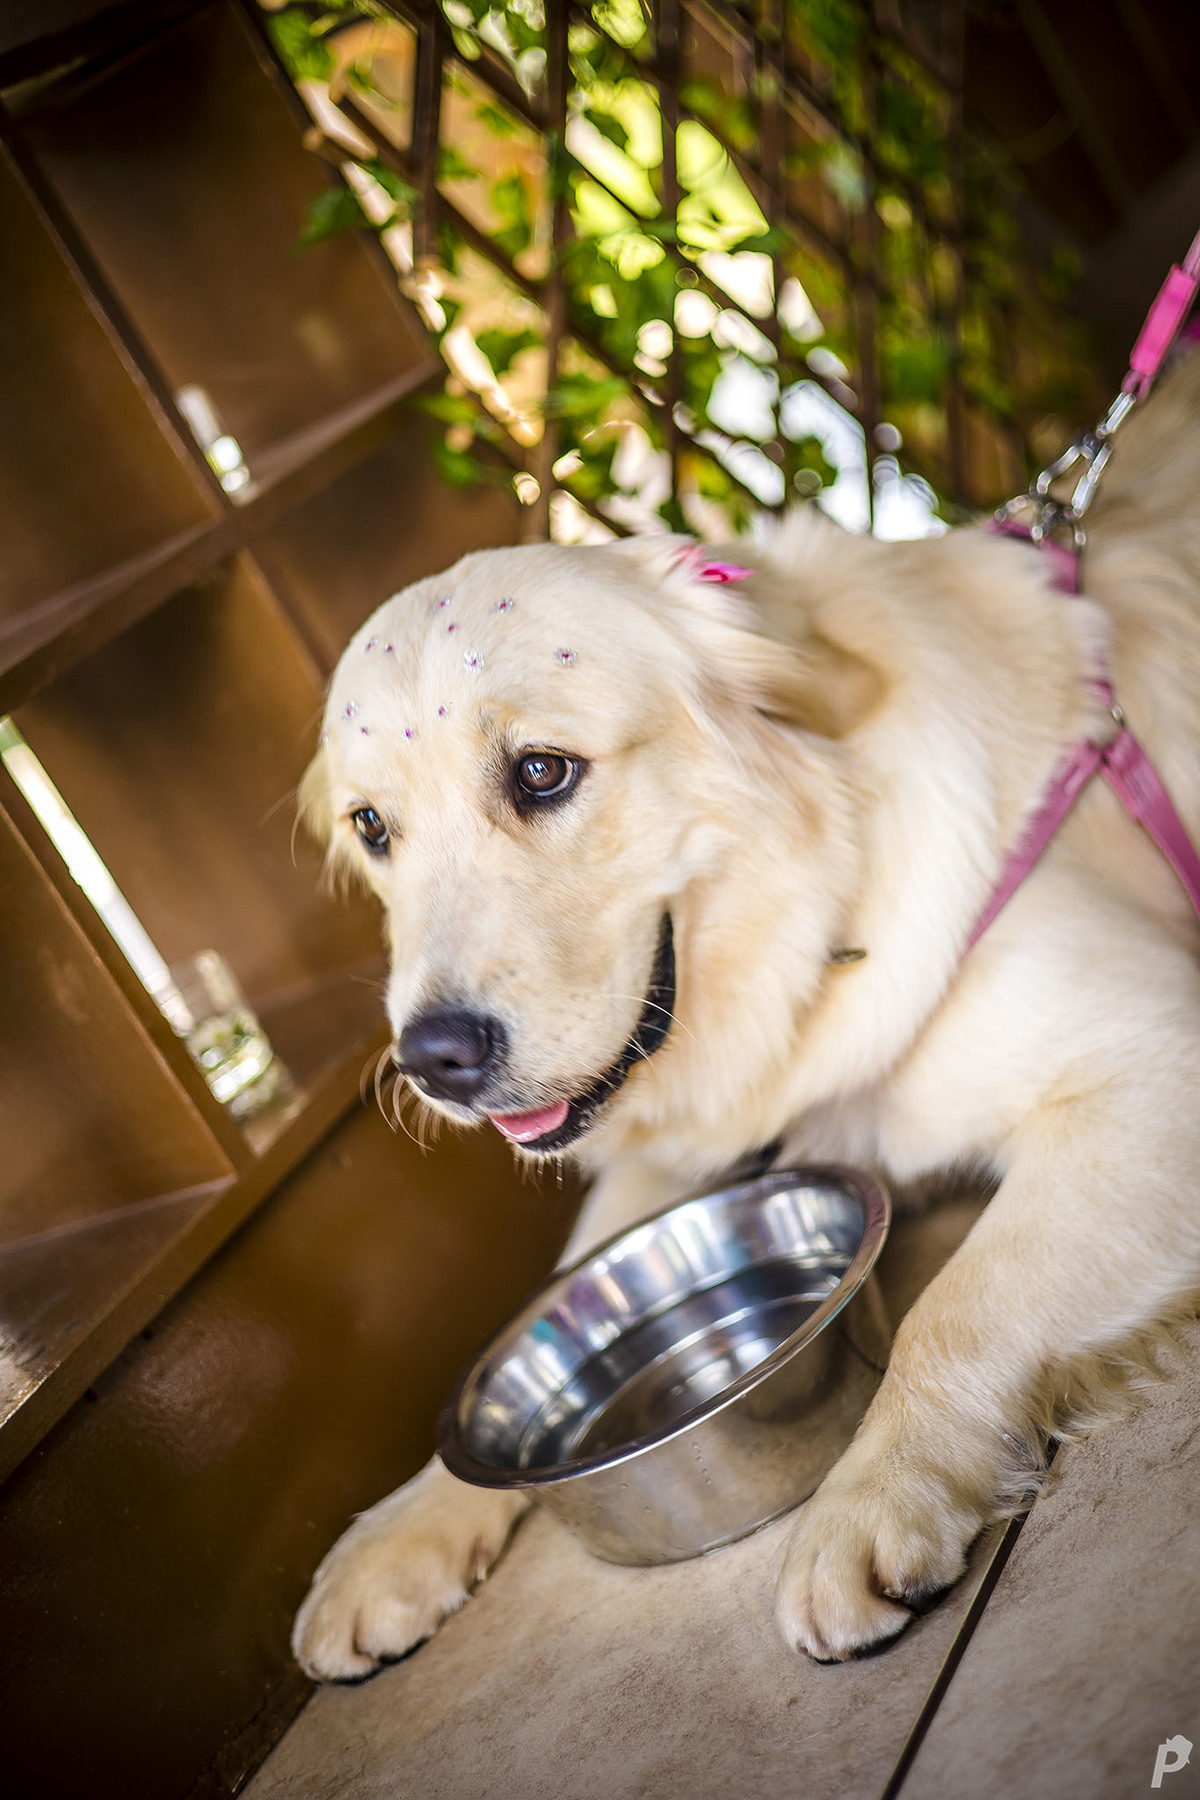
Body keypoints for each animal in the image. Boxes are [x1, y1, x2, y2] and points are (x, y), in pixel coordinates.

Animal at [292, 353, 1200, 1678]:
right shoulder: (659, 1153)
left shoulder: (1155, 1064)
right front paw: (409, 1522)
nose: (435, 1062)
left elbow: (954, 1304)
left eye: (543, 773)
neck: (812, 924)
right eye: (372, 828)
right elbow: (546, 1304)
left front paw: (872, 1497)